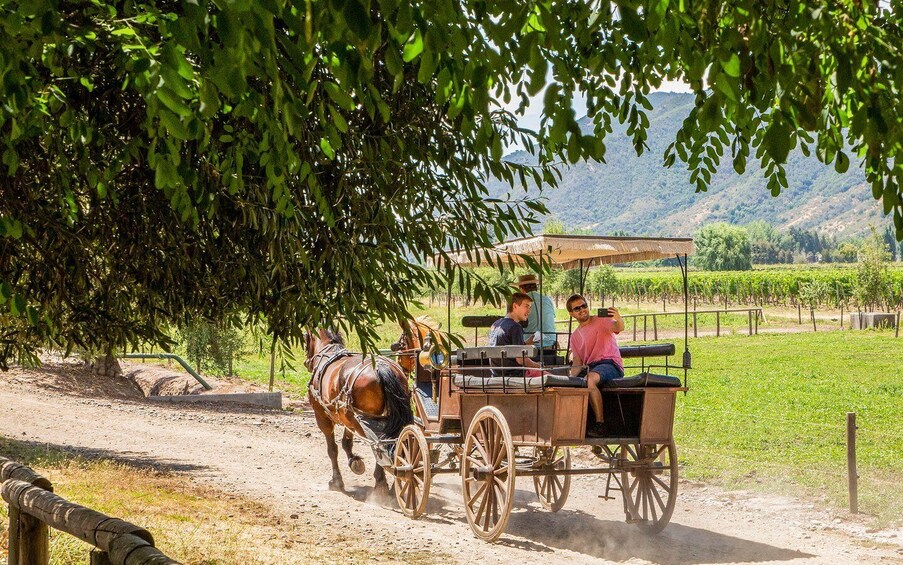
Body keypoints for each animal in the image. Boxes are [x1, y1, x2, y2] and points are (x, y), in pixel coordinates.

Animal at [308, 328, 414, 492]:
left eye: (305, 338)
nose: (306, 362)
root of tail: (381, 368)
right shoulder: (348, 418)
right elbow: (346, 443)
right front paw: (355, 462)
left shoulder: (322, 417)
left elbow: (332, 449)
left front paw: (337, 481)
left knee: (379, 446)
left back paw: (382, 481)